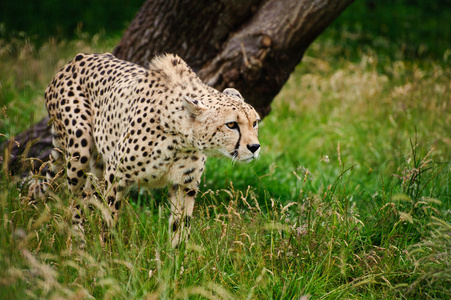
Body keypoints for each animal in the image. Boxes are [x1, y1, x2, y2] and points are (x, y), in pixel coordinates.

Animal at [43, 52, 262, 247]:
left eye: (255, 123)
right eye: (231, 124)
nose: (254, 147)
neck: (180, 137)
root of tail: (75, 60)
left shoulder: (185, 185)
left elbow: (180, 227)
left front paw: (176, 262)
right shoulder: (116, 175)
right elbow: (109, 218)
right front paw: (107, 256)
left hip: (97, 166)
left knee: (87, 196)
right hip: (79, 150)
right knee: (74, 203)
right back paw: (78, 243)